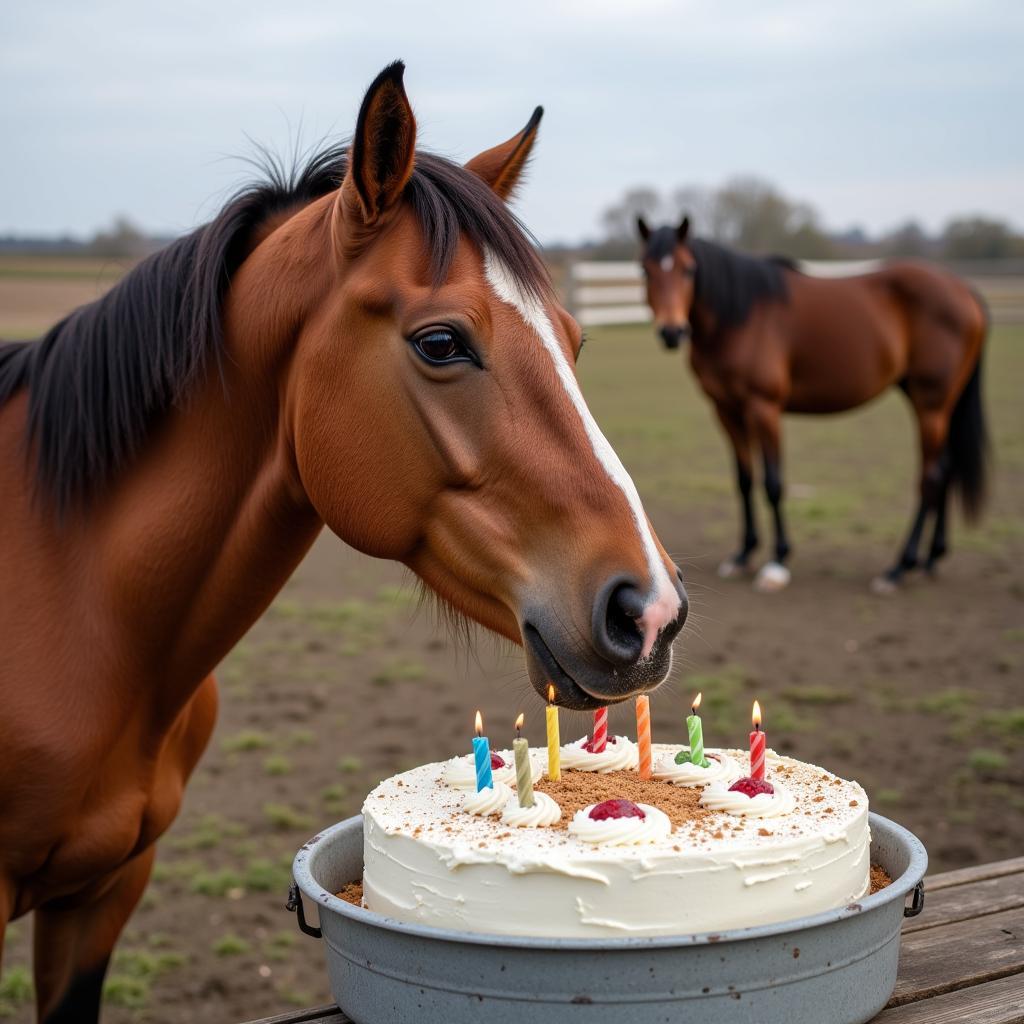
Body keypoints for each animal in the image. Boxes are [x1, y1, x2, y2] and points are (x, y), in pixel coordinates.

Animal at [638, 220, 983, 598]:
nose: (672, 331)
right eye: (646, 270)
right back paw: (931, 558)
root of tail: (963, 289)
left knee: (931, 477)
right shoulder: (726, 410)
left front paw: (777, 563)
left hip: (931, 404)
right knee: (947, 468)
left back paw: (898, 568)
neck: (741, 317)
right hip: (932, 403)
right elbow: (744, 480)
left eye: (688, 269)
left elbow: (773, 483)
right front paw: (743, 554)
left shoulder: (764, 408)